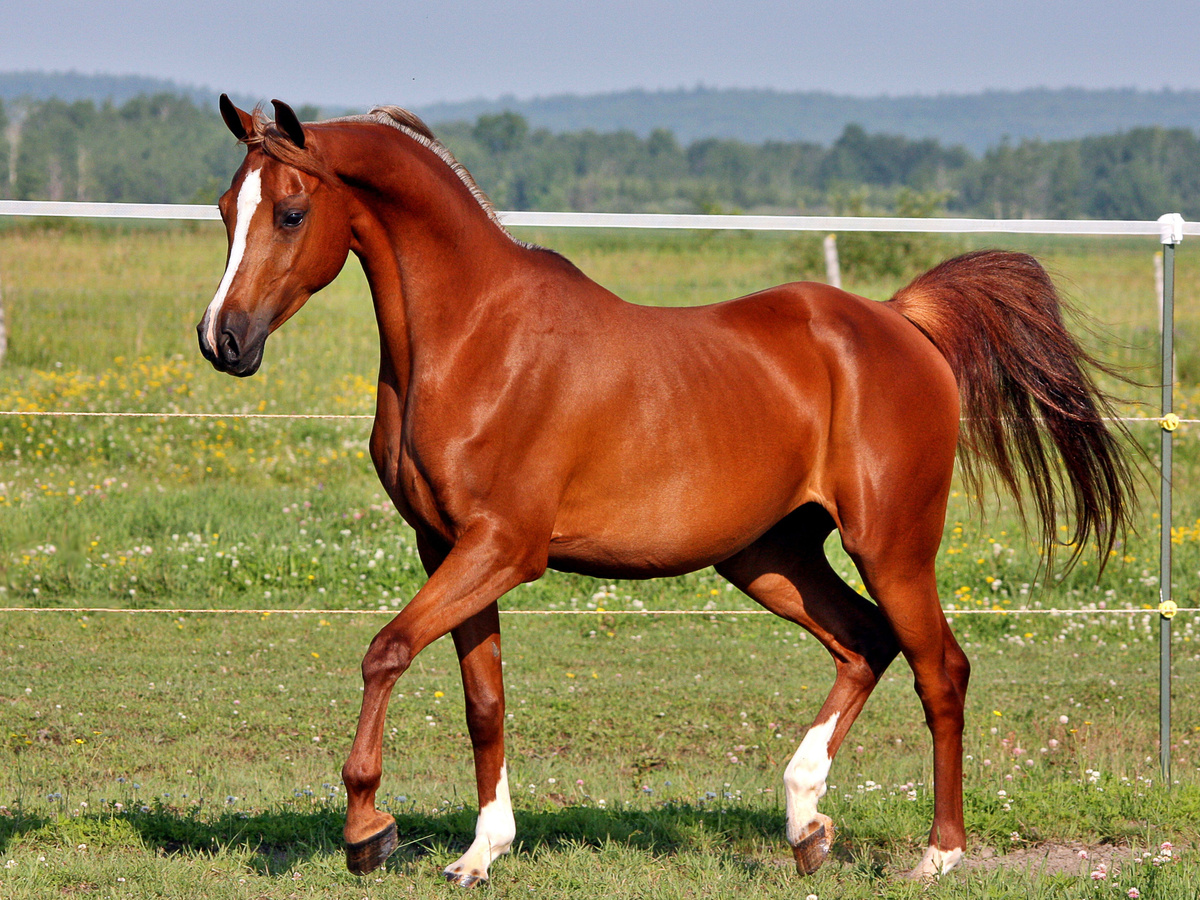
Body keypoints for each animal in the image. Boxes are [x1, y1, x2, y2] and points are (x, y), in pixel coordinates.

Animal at [201, 97, 1128, 883]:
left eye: (290, 213)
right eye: (222, 209)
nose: (223, 340)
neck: (475, 337)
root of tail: (900, 322)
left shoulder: (503, 547)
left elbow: (386, 650)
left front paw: (367, 830)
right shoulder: (449, 548)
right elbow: (483, 702)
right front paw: (480, 853)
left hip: (892, 546)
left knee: (941, 669)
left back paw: (938, 855)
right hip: (769, 556)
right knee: (864, 641)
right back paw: (805, 824)